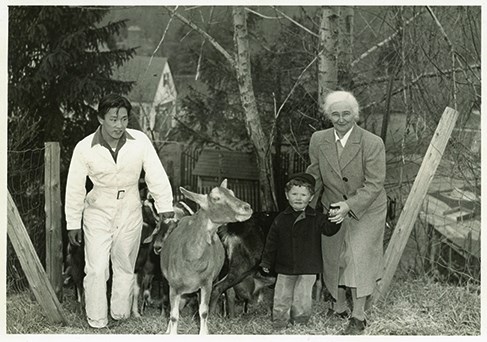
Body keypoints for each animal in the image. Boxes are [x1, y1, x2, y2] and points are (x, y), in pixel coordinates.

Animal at [158, 180, 254, 336]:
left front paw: (204, 333)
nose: (247, 207)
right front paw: (171, 332)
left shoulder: (206, 283)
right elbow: (173, 315)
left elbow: (203, 311)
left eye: (232, 193)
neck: (191, 259)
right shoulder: (174, 286)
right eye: (216, 198)